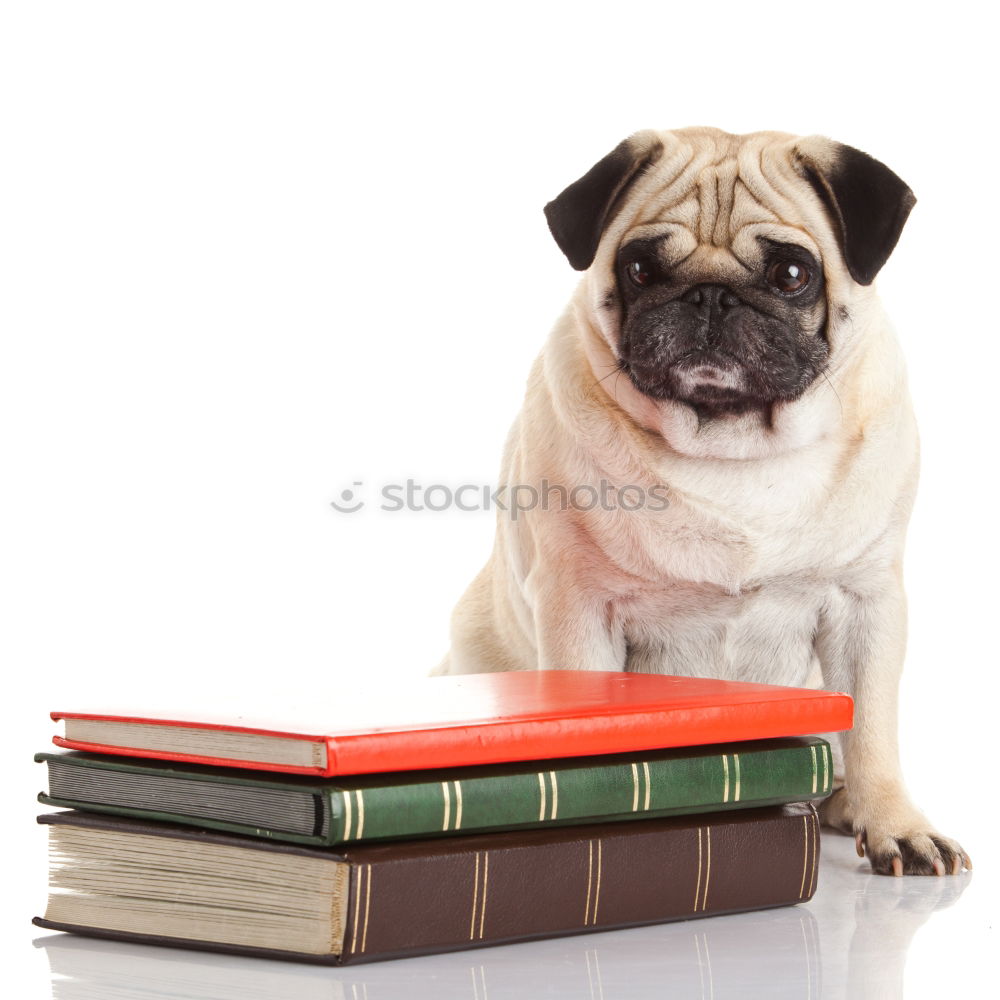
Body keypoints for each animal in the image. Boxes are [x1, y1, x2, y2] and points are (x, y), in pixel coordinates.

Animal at [436, 129, 968, 880]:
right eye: (639, 269)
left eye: (792, 274)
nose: (710, 296)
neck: (734, 452)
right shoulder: (578, 610)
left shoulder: (866, 602)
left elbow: (871, 726)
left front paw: (895, 824)